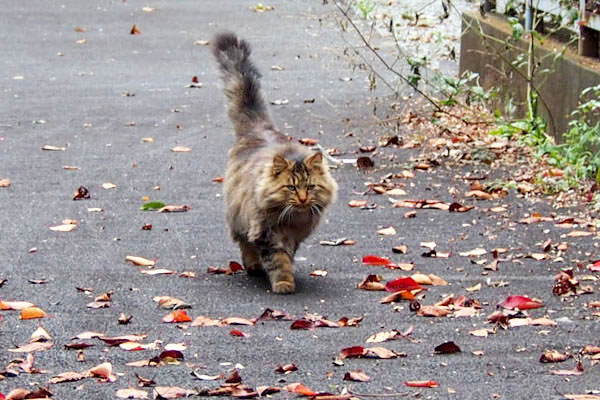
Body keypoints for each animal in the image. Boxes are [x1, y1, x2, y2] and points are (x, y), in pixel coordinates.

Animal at [213, 32, 338, 294]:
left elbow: (287, 257)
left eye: (310, 187)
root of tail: (259, 128)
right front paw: (283, 284)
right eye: (290, 187)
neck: (292, 220)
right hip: (239, 216)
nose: (302, 199)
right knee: (244, 243)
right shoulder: (266, 234)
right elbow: (278, 261)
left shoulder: (294, 237)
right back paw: (253, 267)